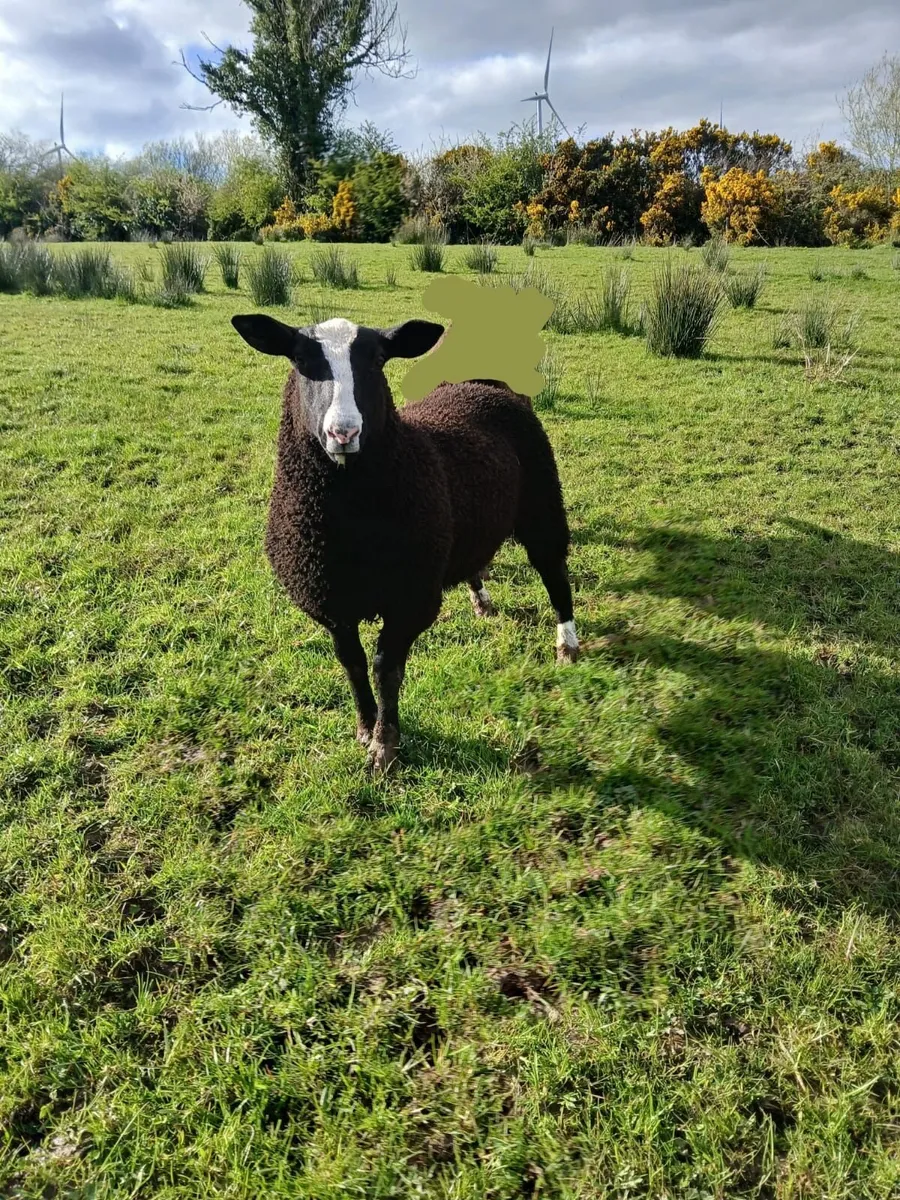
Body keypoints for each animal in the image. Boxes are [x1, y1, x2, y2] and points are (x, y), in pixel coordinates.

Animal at [231, 311, 579, 774]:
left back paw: (568, 645)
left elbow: (386, 669)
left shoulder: (410, 599)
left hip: (541, 501)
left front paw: (384, 746)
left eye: (379, 359)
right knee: (476, 561)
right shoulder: (332, 602)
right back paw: (482, 602)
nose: (343, 433)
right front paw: (364, 727)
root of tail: (482, 383)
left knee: (554, 572)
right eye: (300, 359)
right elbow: (353, 664)